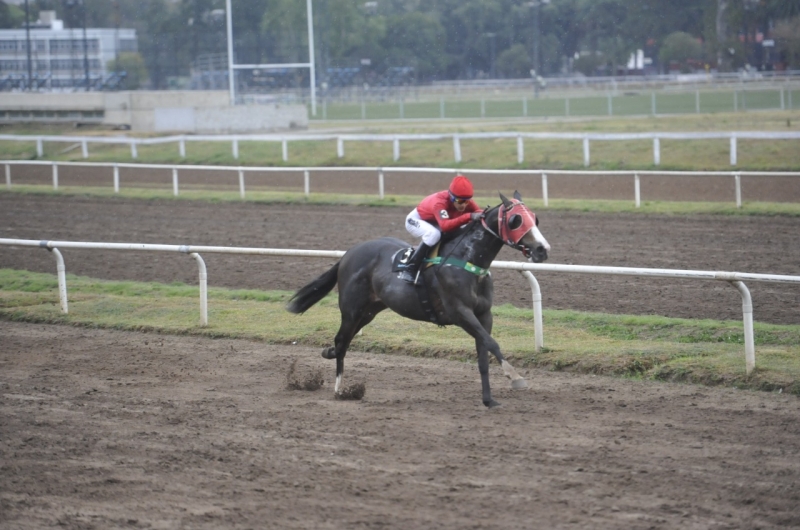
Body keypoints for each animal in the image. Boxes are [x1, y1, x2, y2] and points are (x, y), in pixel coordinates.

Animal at [286, 192, 552, 406]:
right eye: (516, 220)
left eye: (535, 218)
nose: (542, 249)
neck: (467, 261)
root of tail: (349, 253)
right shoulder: (460, 312)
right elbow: (492, 344)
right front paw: (515, 376)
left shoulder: (483, 315)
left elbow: (484, 354)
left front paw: (488, 400)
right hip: (351, 309)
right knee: (342, 341)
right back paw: (340, 388)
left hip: (370, 310)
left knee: (344, 341)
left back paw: (329, 356)